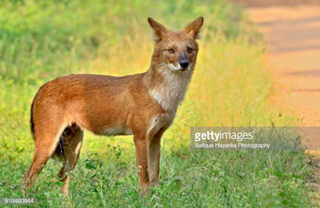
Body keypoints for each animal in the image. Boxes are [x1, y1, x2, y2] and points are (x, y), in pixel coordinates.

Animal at [25, 16, 205, 195]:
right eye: (171, 50)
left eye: (189, 49)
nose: (184, 63)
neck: (161, 95)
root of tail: (43, 86)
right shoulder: (140, 137)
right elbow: (144, 177)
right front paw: (145, 199)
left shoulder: (156, 137)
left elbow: (155, 177)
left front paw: (157, 198)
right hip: (48, 144)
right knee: (29, 176)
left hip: (74, 148)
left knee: (62, 176)